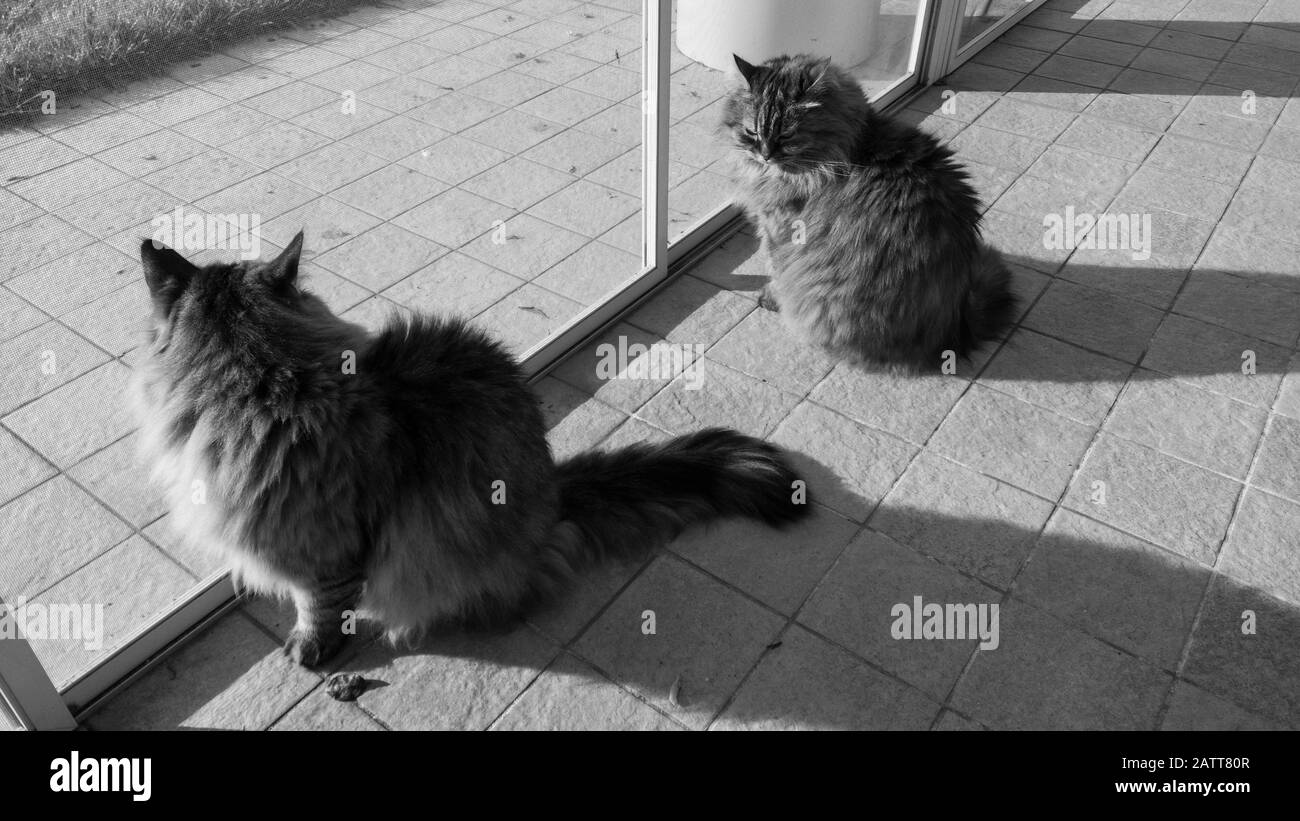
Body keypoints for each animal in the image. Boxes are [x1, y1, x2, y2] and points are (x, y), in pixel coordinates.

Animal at [722, 53, 1013, 368]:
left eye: (787, 135)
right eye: (751, 131)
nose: (765, 154)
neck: (852, 147)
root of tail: (955, 328)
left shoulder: (780, 231)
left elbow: (776, 271)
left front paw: (771, 298)